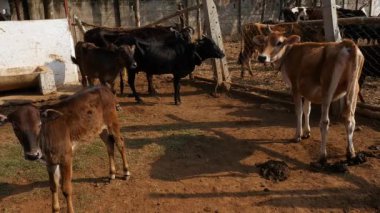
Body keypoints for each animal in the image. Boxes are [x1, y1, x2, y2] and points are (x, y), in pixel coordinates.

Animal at [0, 85, 130, 212]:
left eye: (39, 124)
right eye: (15, 127)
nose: (32, 155)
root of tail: (105, 87)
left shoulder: (67, 156)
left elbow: (66, 189)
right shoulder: (50, 162)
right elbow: (53, 187)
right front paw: (55, 209)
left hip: (113, 122)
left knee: (120, 143)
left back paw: (126, 172)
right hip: (99, 128)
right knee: (109, 144)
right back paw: (111, 174)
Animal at [252, 32, 366, 164]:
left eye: (279, 42)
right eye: (265, 41)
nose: (262, 57)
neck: (288, 54)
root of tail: (347, 43)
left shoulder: (295, 88)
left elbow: (299, 111)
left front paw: (298, 135)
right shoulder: (307, 91)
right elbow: (307, 110)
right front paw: (307, 132)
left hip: (328, 89)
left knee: (325, 122)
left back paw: (323, 156)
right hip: (354, 87)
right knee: (350, 120)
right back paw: (351, 153)